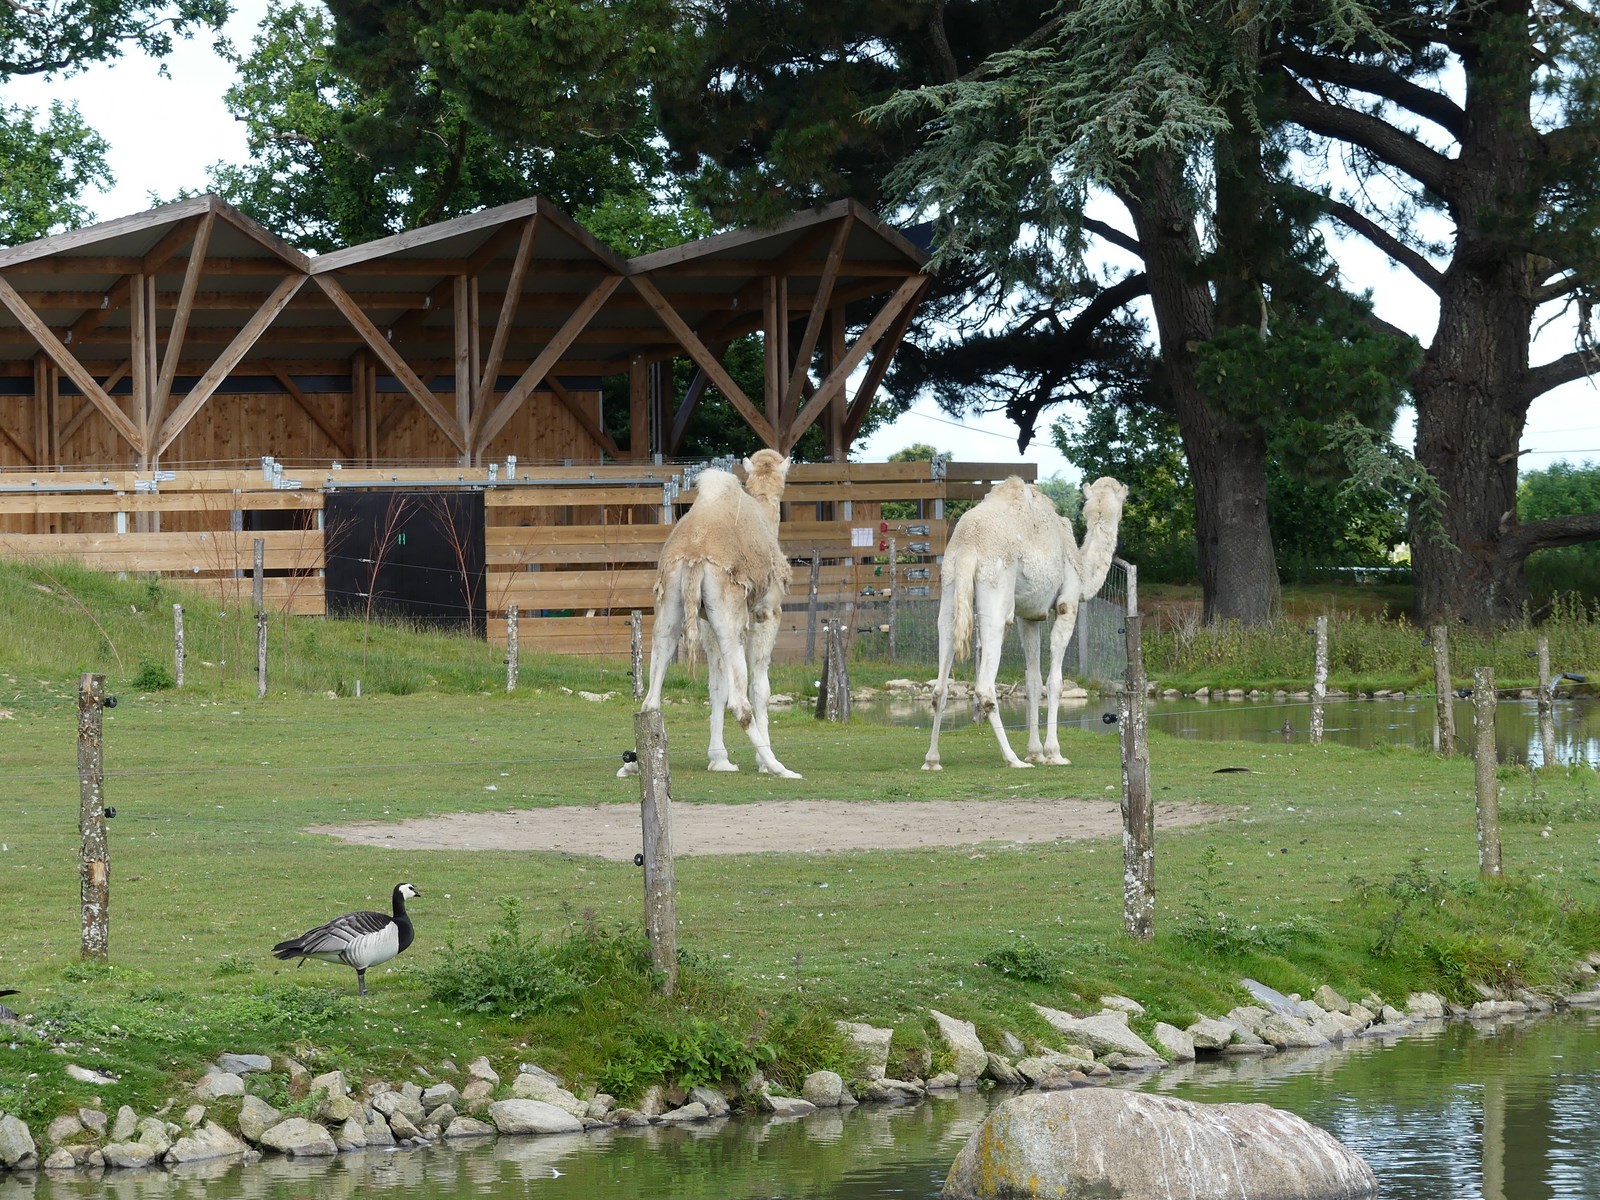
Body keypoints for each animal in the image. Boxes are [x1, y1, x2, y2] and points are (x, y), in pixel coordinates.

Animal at [641, 448, 801, 779]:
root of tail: (692, 558)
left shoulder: (705, 622)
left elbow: (716, 685)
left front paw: (719, 759)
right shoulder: (767, 611)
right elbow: (761, 688)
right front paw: (758, 762)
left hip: (670, 607)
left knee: (651, 700)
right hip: (731, 618)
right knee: (740, 703)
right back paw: (777, 766)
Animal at [923, 475, 1128, 771]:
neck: (1080, 562)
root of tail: (967, 546)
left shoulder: (1029, 616)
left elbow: (1032, 681)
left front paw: (1036, 752)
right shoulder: (1067, 603)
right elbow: (1054, 681)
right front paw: (1053, 753)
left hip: (950, 588)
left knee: (940, 686)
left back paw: (932, 760)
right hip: (995, 593)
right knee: (985, 686)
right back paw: (1013, 759)